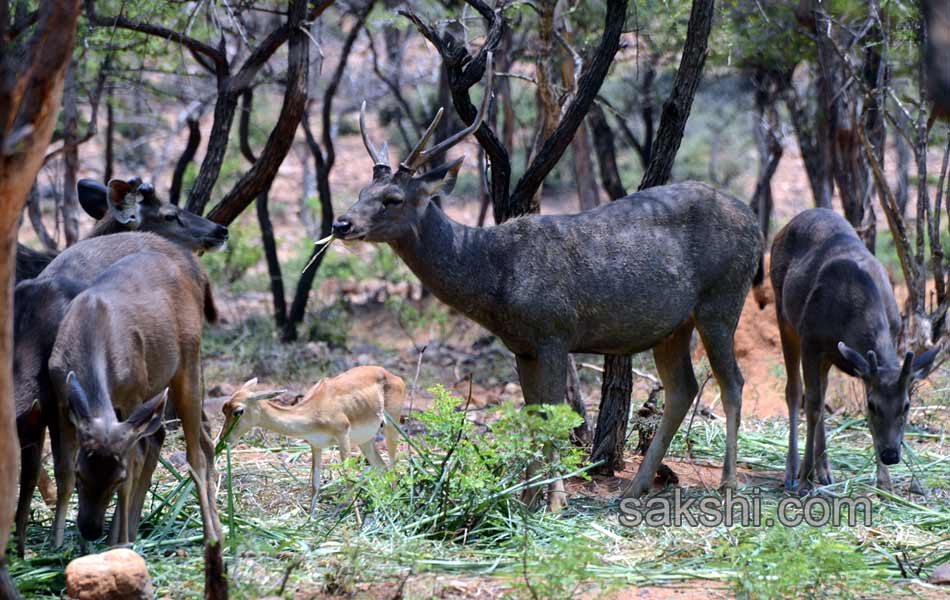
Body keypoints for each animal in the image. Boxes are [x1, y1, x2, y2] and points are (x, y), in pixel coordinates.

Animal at [218, 366, 406, 510]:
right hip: (365, 441)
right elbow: (315, 485)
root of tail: (392, 375)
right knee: (382, 467)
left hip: (391, 427)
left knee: (393, 467)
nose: (224, 440)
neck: (314, 409)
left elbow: (348, 479)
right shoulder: (316, 445)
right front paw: (310, 520)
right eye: (224, 409)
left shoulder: (342, 436)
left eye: (238, 411)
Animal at [334, 56, 768, 508]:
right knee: (683, 388)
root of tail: (755, 224)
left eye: (393, 199)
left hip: (722, 297)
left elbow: (555, 413)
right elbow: (533, 415)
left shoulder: (554, 330)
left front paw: (555, 501)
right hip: (672, 325)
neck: (494, 278)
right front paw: (525, 499)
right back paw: (635, 485)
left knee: (732, 382)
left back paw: (728, 483)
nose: (340, 223)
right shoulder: (522, 346)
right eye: (362, 190)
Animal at [772, 209, 944, 494]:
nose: (891, 455)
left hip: (830, 355)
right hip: (783, 312)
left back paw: (825, 470)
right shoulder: (810, 339)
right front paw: (805, 480)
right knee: (795, 391)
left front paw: (885, 483)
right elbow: (813, 406)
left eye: (906, 405)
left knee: (822, 388)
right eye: (874, 405)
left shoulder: (869, 357)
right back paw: (792, 472)